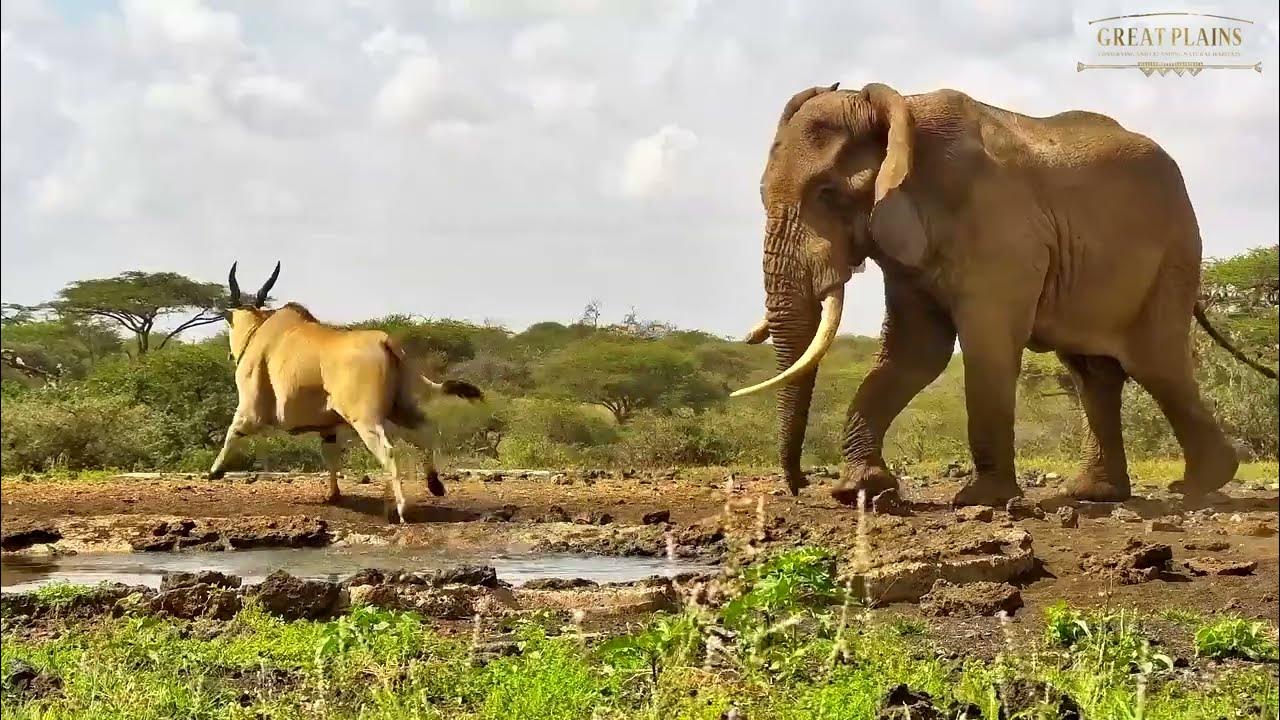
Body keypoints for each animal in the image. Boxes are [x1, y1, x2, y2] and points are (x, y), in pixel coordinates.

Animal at [733, 82, 1278, 508]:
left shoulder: (1000, 231)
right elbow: (914, 355)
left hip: (1172, 255)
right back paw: (1095, 494)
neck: (900, 109)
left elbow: (987, 348)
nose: (799, 485)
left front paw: (980, 500)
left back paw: (1198, 487)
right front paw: (860, 492)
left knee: (1155, 363)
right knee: (1094, 373)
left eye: (827, 193)